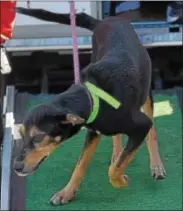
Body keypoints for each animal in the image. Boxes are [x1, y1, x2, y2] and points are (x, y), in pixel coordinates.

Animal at [14, 7, 166, 206]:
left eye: (39, 137)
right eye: (21, 134)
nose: (16, 167)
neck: (92, 98)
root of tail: (107, 20)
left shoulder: (141, 125)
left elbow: (114, 169)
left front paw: (120, 181)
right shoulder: (93, 131)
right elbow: (81, 163)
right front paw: (67, 192)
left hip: (147, 93)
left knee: (152, 133)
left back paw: (156, 164)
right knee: (117, 140)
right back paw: (117, 153)